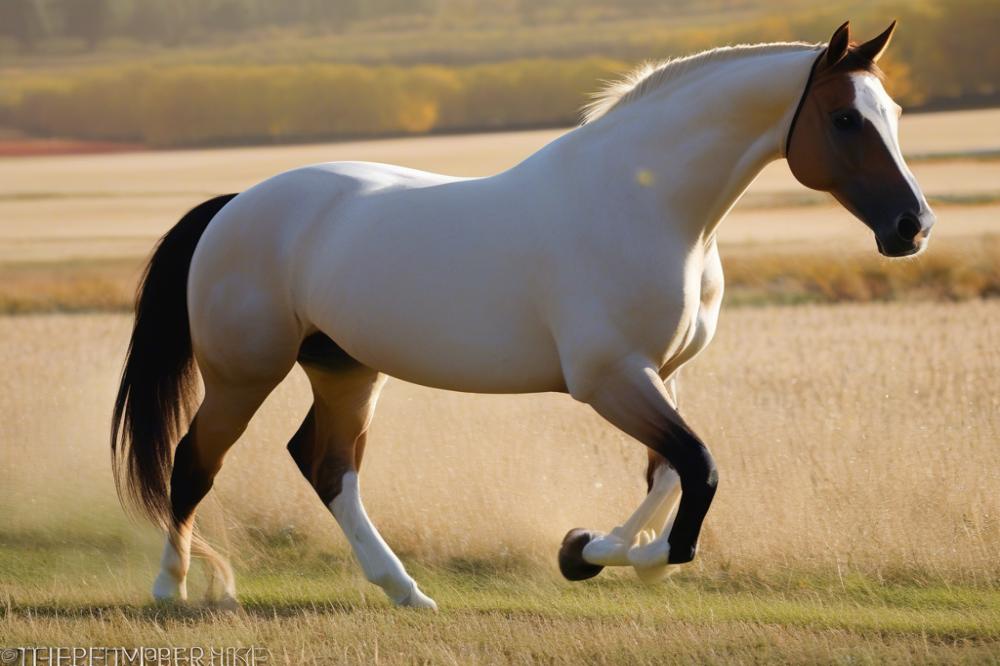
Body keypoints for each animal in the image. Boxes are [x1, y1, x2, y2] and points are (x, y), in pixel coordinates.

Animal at [111, 22, 936, 608]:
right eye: (844, 118)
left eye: (893, 113)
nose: (912, 227)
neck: (647, 204)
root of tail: (235, 206)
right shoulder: (611, 380)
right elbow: (697, 473)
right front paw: (595, 553)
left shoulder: (662, 374)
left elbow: (669, 477)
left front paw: (596, 551)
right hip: (243, 374)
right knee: (194, 463)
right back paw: (172, 589)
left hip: (346, 369)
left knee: (327, 465)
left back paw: (405, 591)